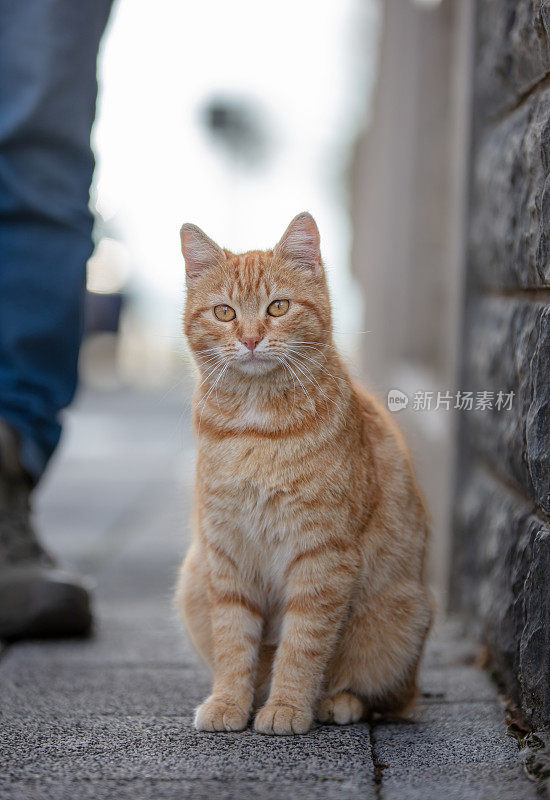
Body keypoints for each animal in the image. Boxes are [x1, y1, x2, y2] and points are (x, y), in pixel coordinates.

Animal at [175, 214, 434, 736]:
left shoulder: (321, 554)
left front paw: (288, 707)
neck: (255, 428)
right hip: (194, 577)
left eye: (278, 307)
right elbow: (234, 641)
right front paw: (229, 702)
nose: (251, 338)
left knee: (386, 696)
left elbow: (302, 645)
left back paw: (336, 702)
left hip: (400, 620)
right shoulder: (227, 552)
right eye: (225, 313)